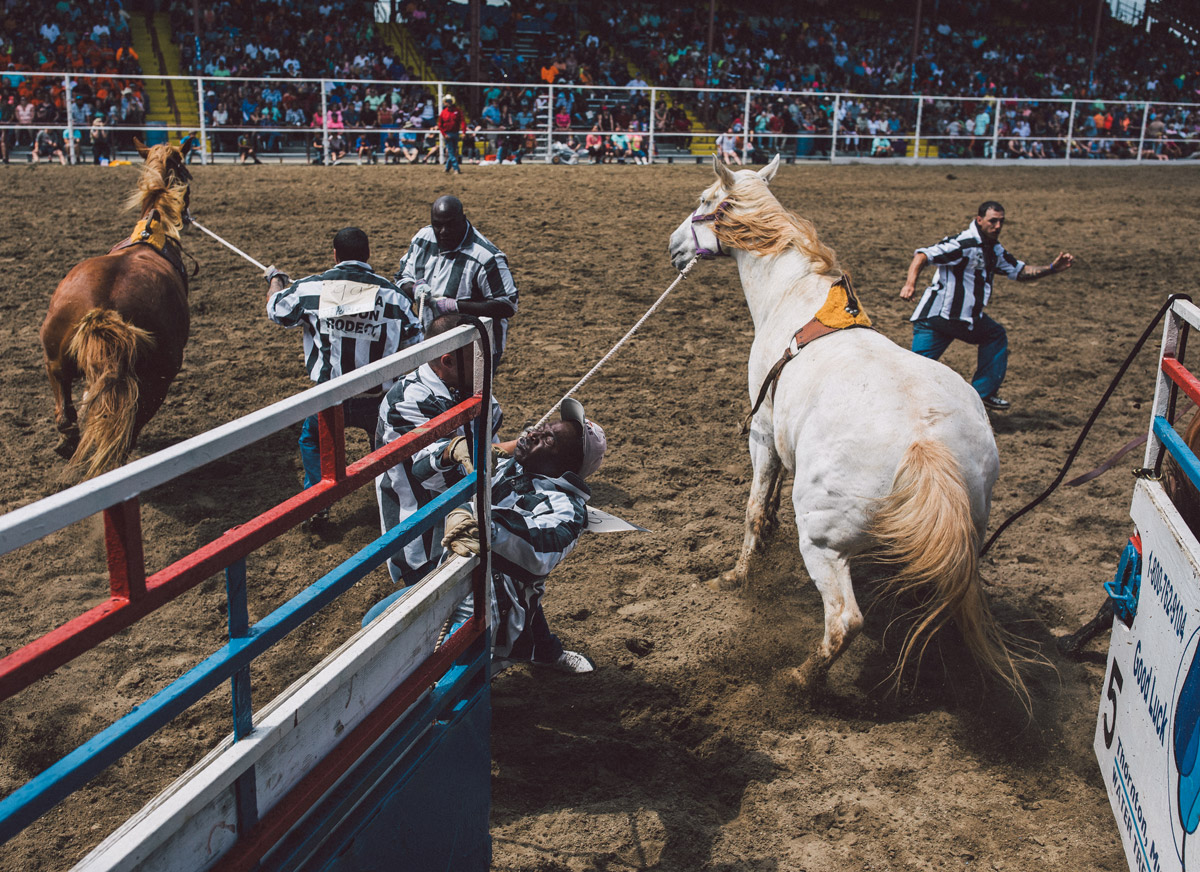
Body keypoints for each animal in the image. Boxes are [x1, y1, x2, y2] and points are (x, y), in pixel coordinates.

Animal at [39, 137, 192, 477]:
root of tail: (103, 307)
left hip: (54, 360)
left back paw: (67, 443)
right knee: (128, 427)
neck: (152, 234)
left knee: (66, 415)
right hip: (157, 380)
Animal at [667, 157, 1022, 700]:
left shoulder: (763, 434)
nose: (673, 246)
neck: (796, 299)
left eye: (706, 200)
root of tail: (925, 444)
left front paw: (736, 576)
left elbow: (754, 510)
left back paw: (800, 678)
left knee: (845, 621)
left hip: (822, 542)